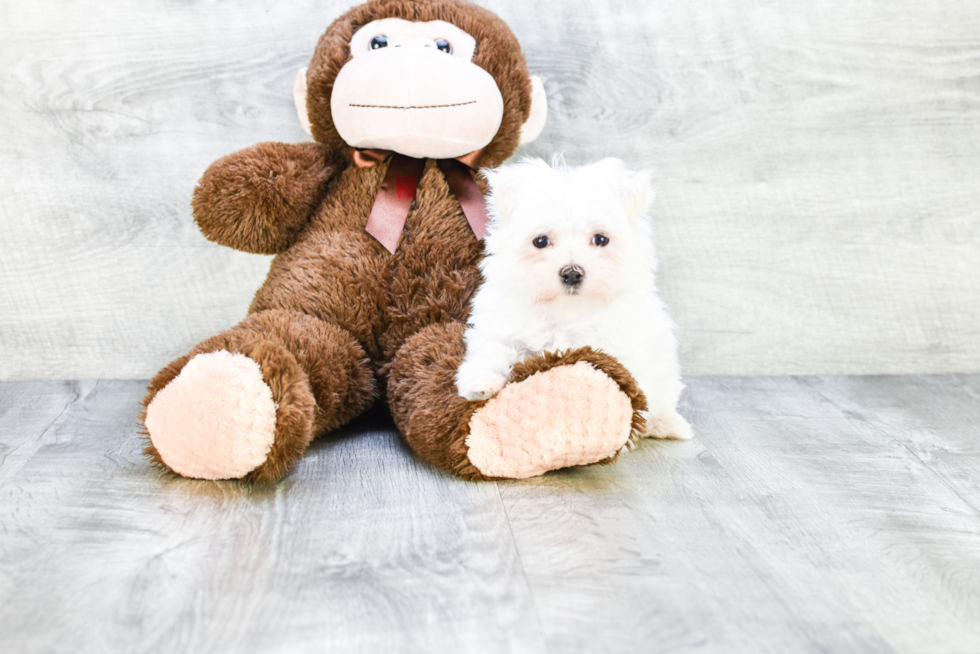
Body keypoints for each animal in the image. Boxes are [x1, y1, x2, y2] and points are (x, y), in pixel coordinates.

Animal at [456, 156, 692, 440]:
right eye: (540, 241)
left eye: (601, 239)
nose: (571, 273)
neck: (567, 310)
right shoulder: (503, 323)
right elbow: (494, 349)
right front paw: (481, 382)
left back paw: (666, 423)